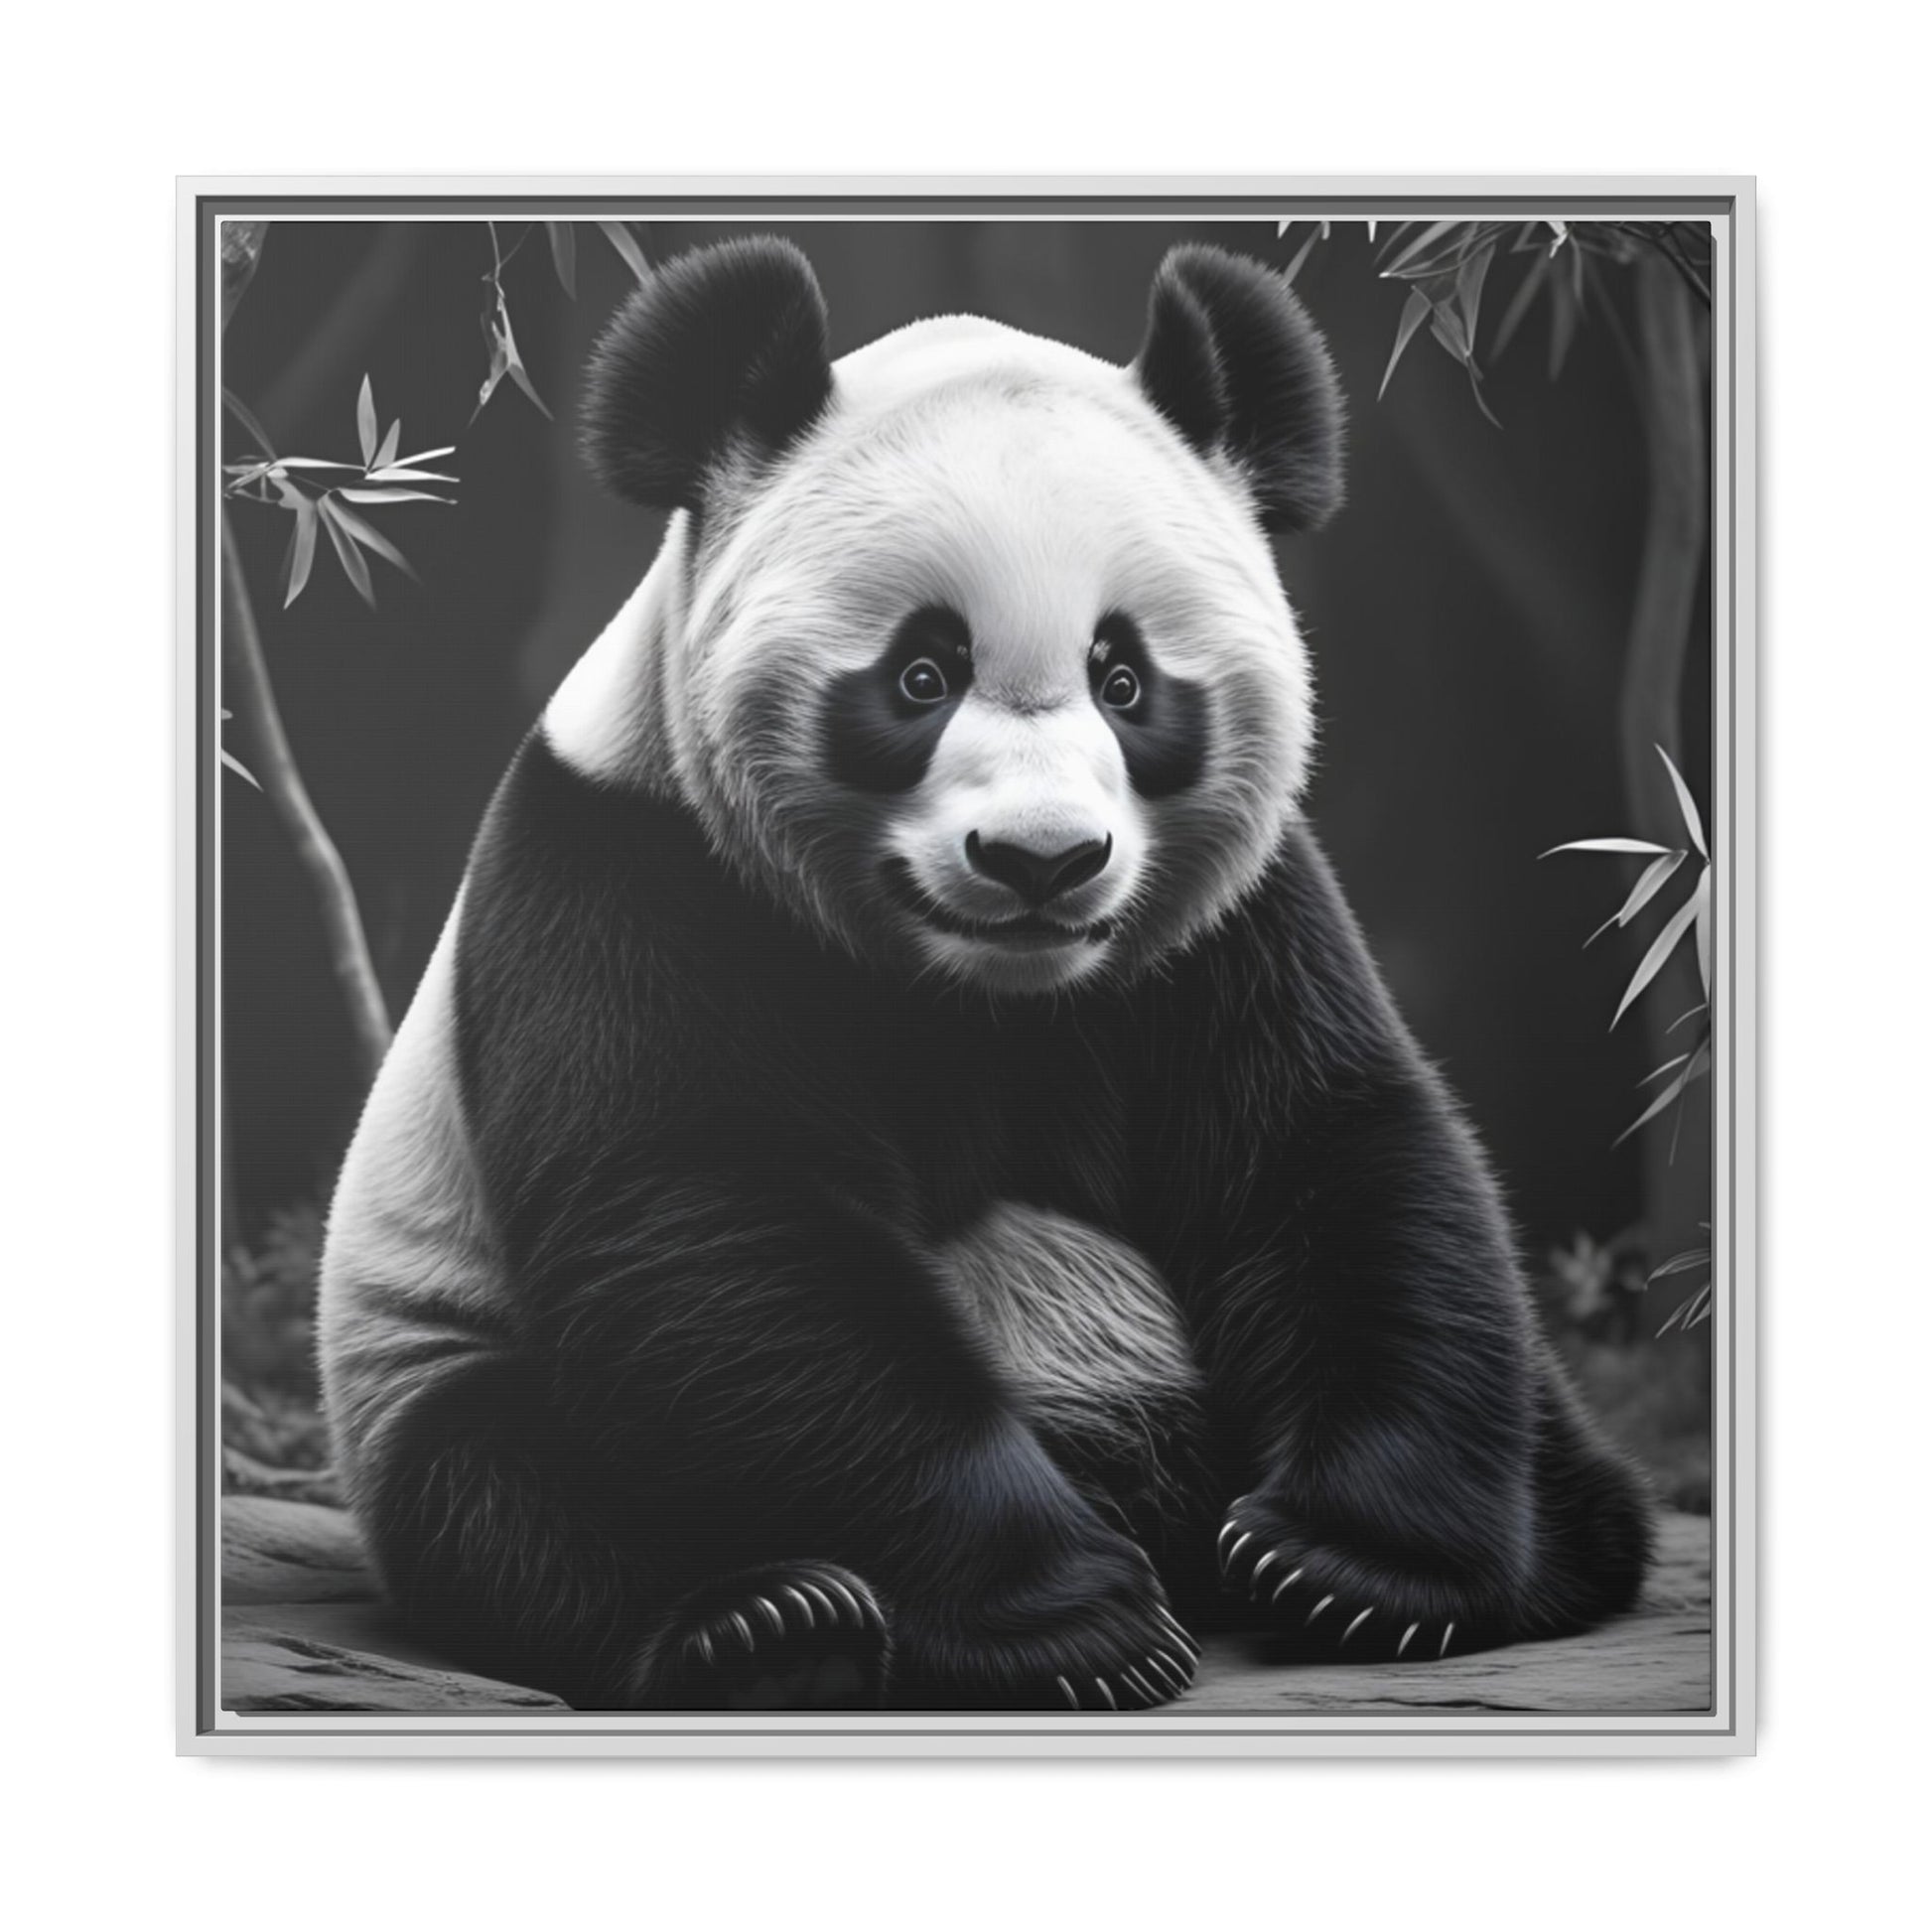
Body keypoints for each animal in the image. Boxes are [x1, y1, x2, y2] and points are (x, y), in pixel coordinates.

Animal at [318, 236, 1654, 1712]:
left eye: (1124, 677)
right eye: (920, 673)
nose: (1041, 860)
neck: (980, 995)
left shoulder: (1228, 923)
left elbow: (1326, 1150)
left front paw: (1349, 1567)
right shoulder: (633, 874)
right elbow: (711, 1221)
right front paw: (1072, 1622)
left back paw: (1553, 1540)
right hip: (424, 1353)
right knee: (511, 1492)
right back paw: (771, 1626)